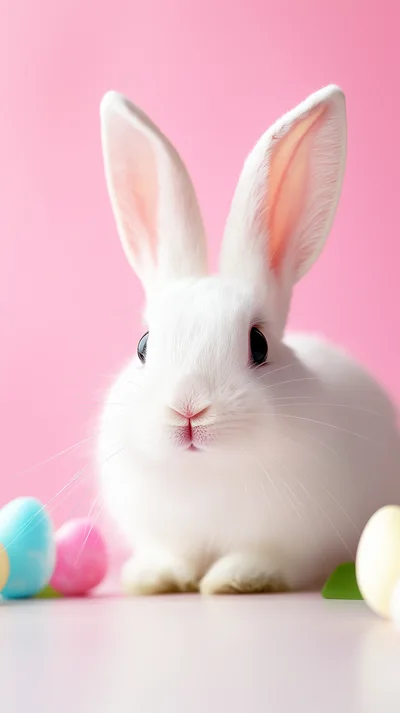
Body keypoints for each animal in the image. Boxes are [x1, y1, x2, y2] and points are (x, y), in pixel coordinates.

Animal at [97, 85, 400, 596]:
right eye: (143, 345)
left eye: (259, 344)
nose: (189, 409)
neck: (207, 474)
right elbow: (172, 556)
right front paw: (156, 578)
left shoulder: (292, 547)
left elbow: (262, 560)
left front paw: (232, 580)